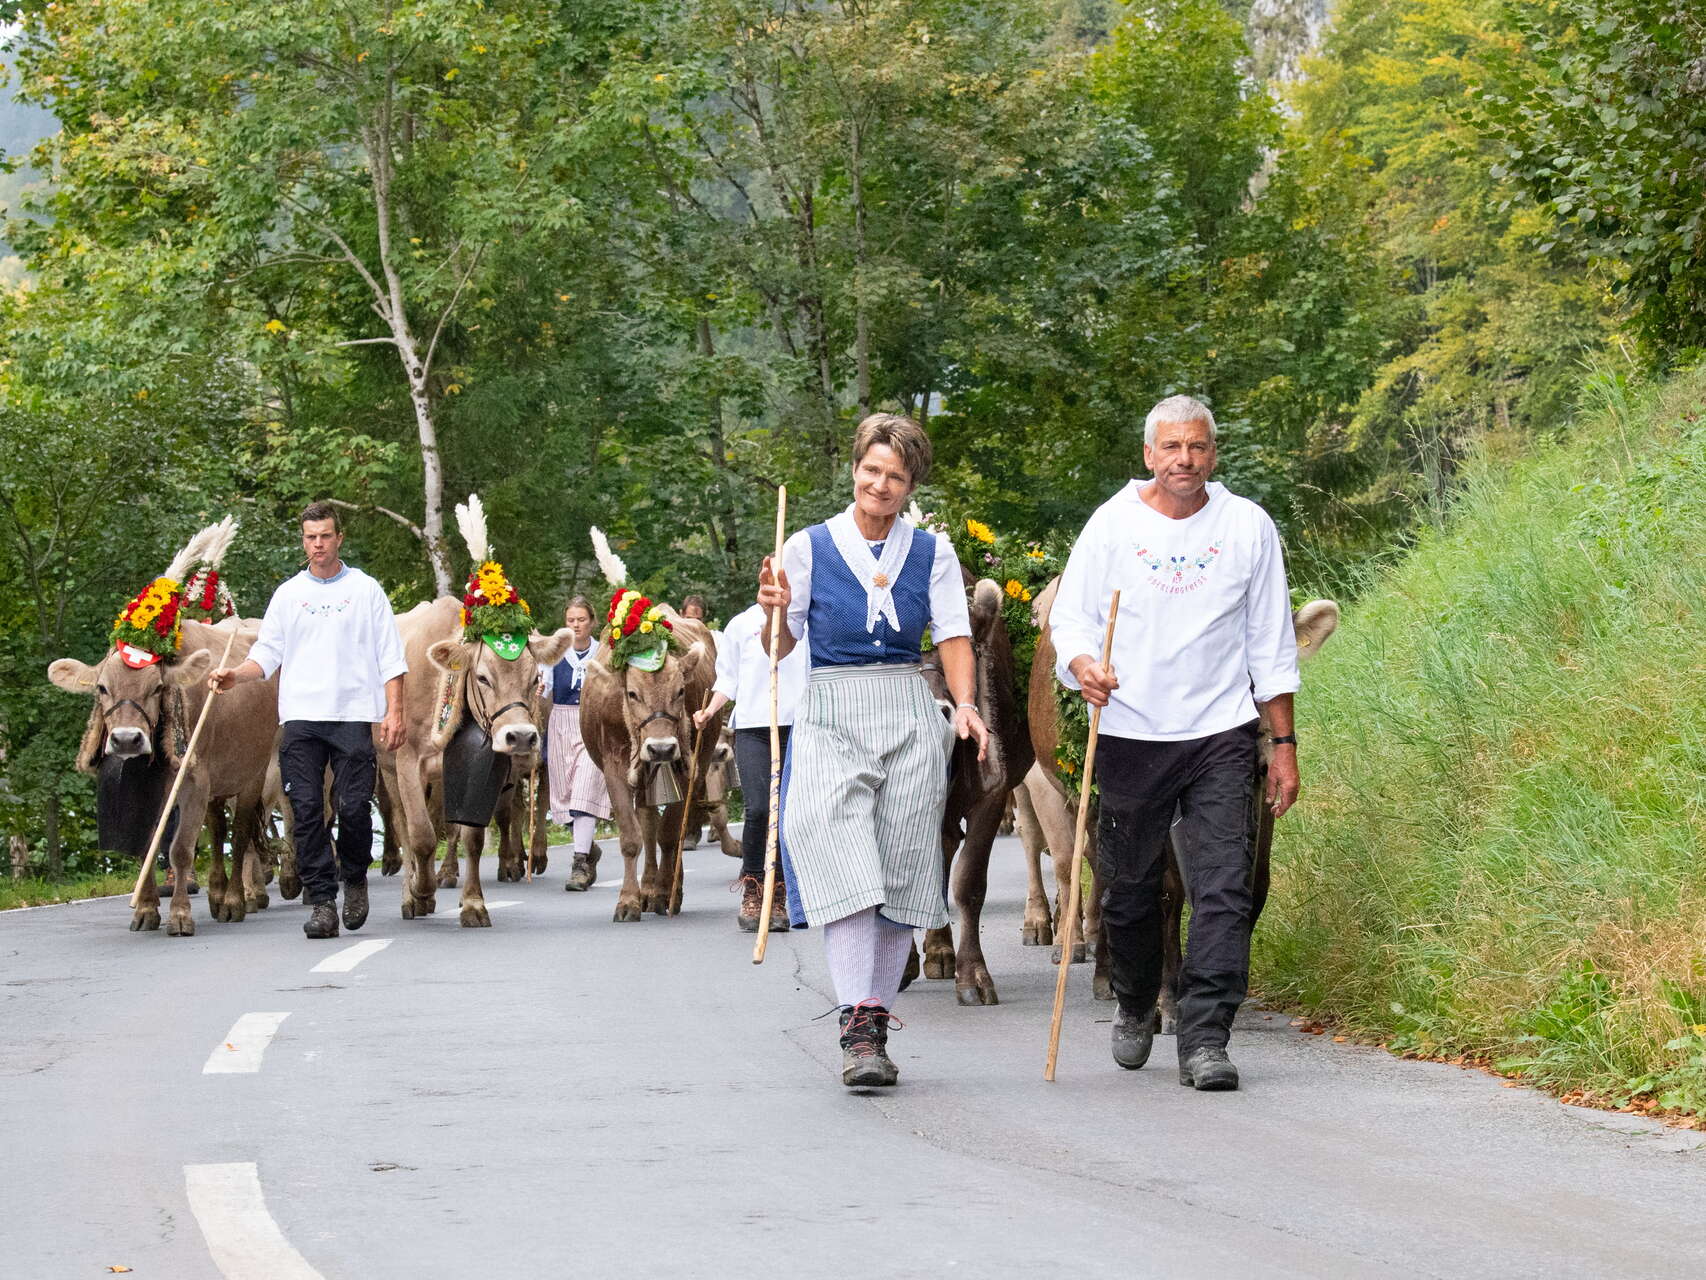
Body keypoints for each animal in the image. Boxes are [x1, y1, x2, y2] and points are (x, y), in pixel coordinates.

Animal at [46, 621, 278, 935]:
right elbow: (146, 847)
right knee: (219, 832)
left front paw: (180, 915)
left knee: (241, 835)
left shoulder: (195, 783)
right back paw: (217, 895)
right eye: (102, 688)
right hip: (218, 786)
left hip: (253, 774)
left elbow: (180, 850)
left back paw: (234, 902)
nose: (126, 739)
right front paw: (145, 910)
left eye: (157, 688)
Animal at [380, 597, 573, 928]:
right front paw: (421, 890)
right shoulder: (408, 763)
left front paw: (472, 903)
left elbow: (473, 838)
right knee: (403, 827)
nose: (521, 737)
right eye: (482, 677)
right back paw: (411, 894)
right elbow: (422, 836)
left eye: (535, 678)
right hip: (388, 769)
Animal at [580, 614, 719, 921]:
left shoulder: (686, 767)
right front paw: (628, 900)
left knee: (670, 832)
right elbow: (632, 838)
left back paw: (668, 889)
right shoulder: (614, 767)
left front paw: (665, 894)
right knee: (647, 822)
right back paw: (647, 887)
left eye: (680, 691)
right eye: (632, 693)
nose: (661, 748)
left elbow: (669, 835)